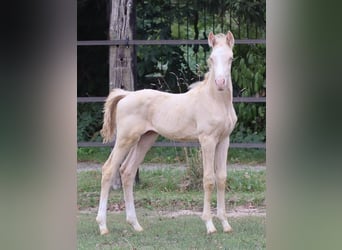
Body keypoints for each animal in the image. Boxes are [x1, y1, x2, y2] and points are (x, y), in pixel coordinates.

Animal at [95, 30, 236, 234]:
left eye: (231, 58)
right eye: (211, 58)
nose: (220, 82)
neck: (215, 101)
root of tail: (127, 95)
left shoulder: (224, 140)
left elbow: (222, 178)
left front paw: (225, 224)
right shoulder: (207, 140)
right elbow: (209, 179)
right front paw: (209, 225)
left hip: (145, 139)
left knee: (127, 171)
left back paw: (135, 224)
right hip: (125, 139)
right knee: (108, 170)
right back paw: (103, 226)